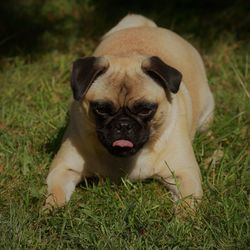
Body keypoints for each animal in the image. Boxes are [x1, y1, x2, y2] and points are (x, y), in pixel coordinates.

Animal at [44, 14, 214, 211]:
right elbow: (55, 194)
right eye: (101, 109)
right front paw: (51, 212)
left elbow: (187, 205)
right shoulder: (64, 169)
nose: (123, 124)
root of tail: (146, 26)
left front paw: (183, 219)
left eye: (145, 109)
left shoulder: (184, 174)